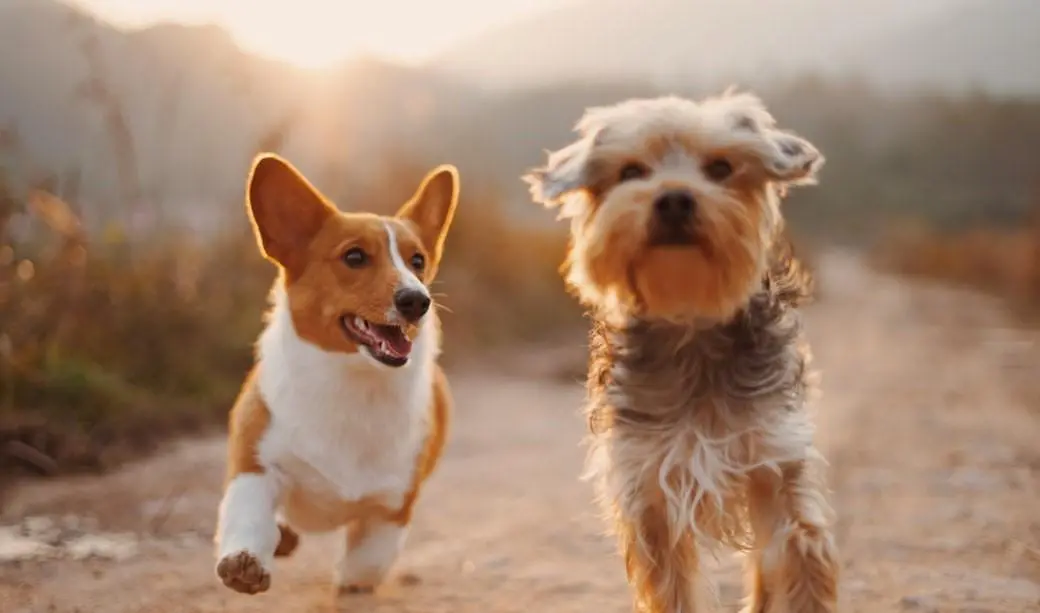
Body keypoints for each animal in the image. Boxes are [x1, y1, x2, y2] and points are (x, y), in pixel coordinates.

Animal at [214, 151, 459, 591]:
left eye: (418, 261)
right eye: (354, 257)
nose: (418, 300)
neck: (352, 381)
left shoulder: (392, 505)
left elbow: (368, 562)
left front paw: (350, 579)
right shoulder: (256, 464)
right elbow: (249, 514)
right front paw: (245, 562)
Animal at [528, 91, 836, 611]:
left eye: (721, 167)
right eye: (631, 171)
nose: (673, 197)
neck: (690, 322)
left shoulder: (775, 460)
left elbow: (797, 557)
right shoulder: (649, 485)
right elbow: (673, 587)